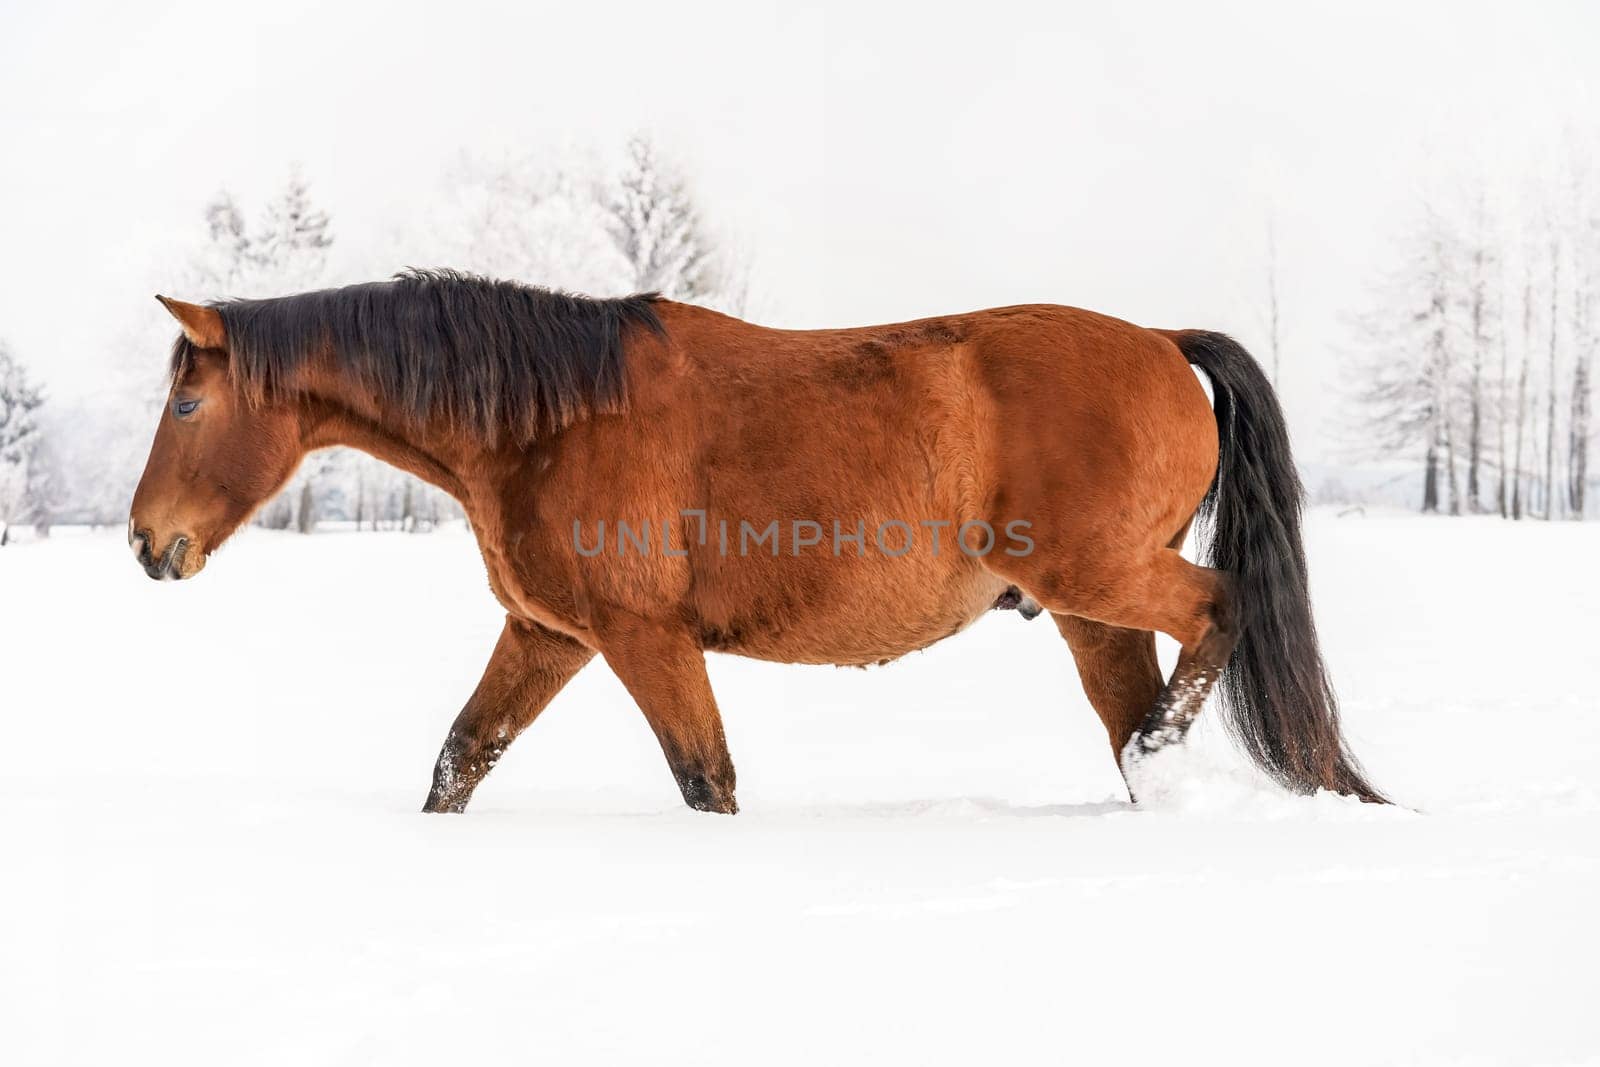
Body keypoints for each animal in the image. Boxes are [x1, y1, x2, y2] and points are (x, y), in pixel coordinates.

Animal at [131, 271, 1382, 812]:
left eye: (188, 403)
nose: (149, 543)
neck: (549, 418)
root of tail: (1163, 339)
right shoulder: (547, 635)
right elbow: (457, 762)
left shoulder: (645, 637)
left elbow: (705, 777)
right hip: (1085, 612)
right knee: (1135, 716)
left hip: (1098, 575)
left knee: (1221, 607)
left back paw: (1170, 750)